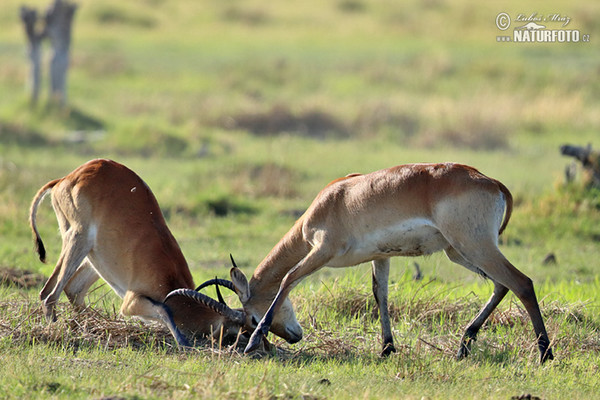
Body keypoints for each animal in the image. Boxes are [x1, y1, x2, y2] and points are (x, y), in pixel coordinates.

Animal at [29, 159, 246, 346]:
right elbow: (163, 309)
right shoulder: (131, 301)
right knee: (49, 295)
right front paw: (184, 344)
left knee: (70, 289)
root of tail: (66, 178)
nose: (253, 346)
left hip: (94, 256)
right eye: (245, 328)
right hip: (79, 239)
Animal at [226, 162, 556, 362]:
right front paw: (387, 348)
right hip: (458, 251)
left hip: (474, 246)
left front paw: (253, 341)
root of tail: (493, 182)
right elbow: (380, 295)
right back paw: (464, 345)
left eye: (250, 317)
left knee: (522, 283)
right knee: (502, 285)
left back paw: (545, 354)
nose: (294, 338)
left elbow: (287, 279)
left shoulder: (322, 250)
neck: (331, 200)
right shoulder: (381, 256)